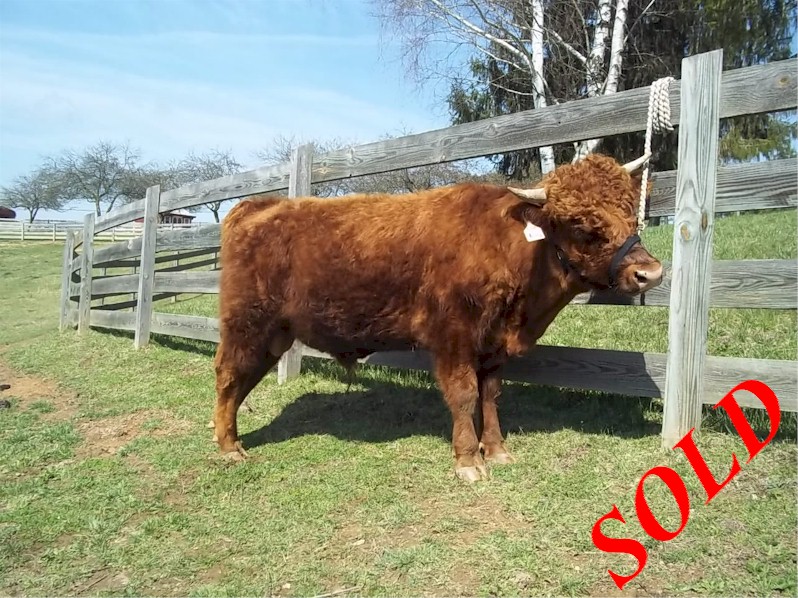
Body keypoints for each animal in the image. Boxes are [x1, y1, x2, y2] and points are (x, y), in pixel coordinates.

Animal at [213, 153, 663, 481]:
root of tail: (259, 205)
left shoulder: (493, 347)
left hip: (273, 336)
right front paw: (468, 461)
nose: (650, 273)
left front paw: (496, 450)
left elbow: (491, 395)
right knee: (228, 377)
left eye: (630, 212)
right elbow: (463, 394)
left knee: (242, 381)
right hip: (247, 326)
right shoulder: (453, 338)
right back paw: (229, 448)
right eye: (581, 224)